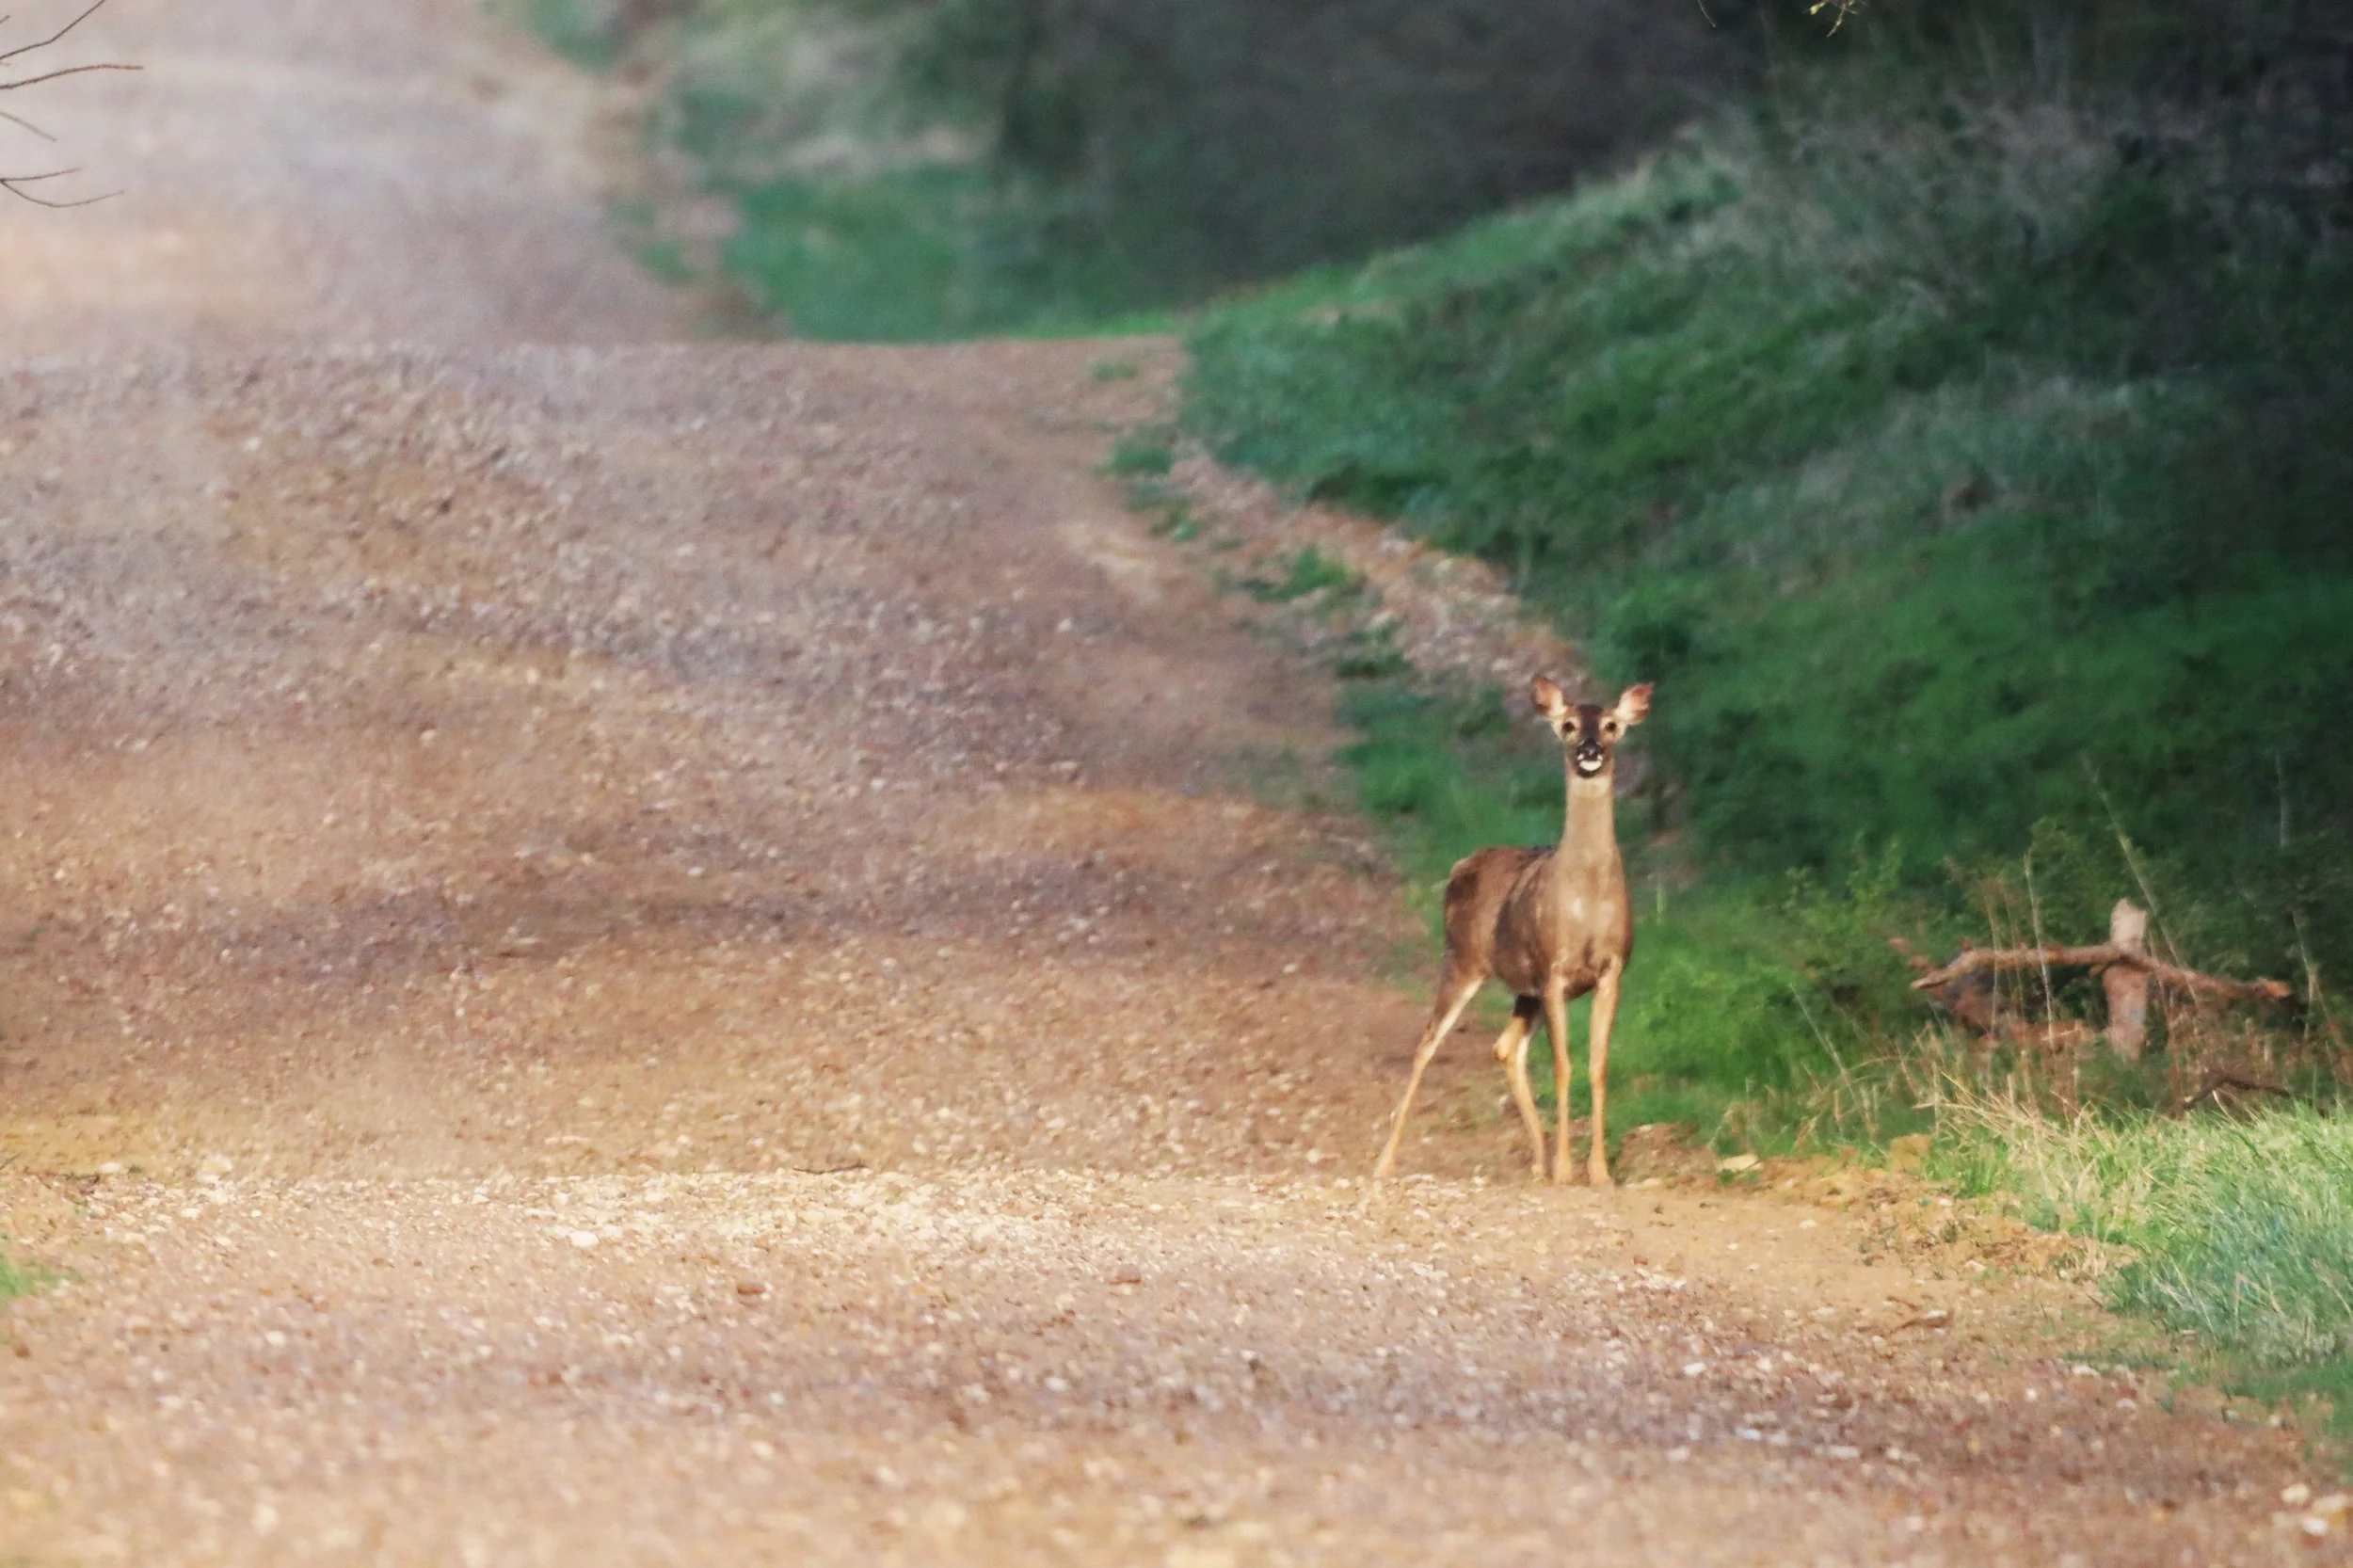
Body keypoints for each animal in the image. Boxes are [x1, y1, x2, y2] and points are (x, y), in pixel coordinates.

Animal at [1373, 676, 1651, 1187]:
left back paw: (1538, 1159)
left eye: (1610, 725)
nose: (1588, 749)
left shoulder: (1610, 971)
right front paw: (1566, 1170)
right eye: (1567, 725)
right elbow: (1563, 1066)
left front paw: (1598, 1172)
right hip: (1463, 959)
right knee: (1426, 1042)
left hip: (1524, 988)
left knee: (1504, 1047)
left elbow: (1597, 1066)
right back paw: (1384, 1162)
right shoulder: (1554, 970)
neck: (1585, 898)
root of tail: (1462, 864)